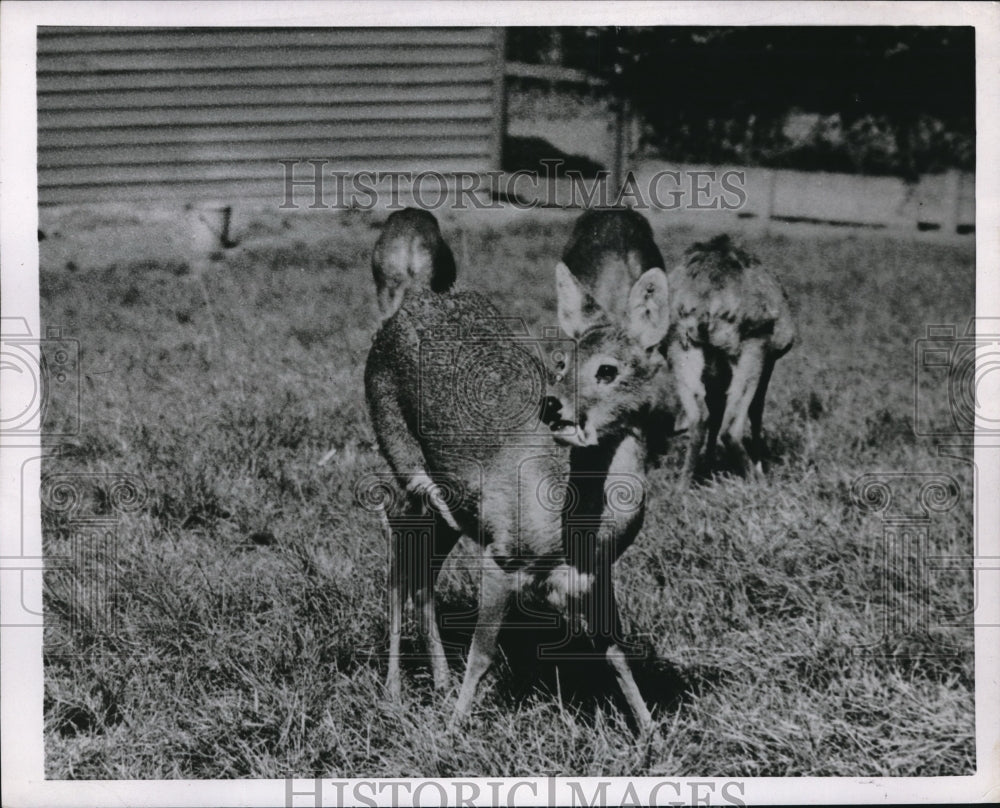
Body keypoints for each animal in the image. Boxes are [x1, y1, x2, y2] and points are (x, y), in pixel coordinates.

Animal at [360, 266, 672, 732]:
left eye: (608, 370)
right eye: (562, 362)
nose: (552, 405)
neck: (574, 530)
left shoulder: (596, 575)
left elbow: (617, 652)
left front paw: (651, 731)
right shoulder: (501, 556)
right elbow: (482, 653)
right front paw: (452, 730)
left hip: (451, 511)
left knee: (423, 578)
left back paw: (439, 682)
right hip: (402, 466)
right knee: (399, 570)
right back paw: (394, 693)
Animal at [664, 234, 796, 486]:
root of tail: (705, 302)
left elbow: (715, 409)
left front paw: (709, 466)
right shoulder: (769, 359)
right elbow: (756, 409)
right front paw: (759, 464)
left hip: (679, 344)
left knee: (699, 417)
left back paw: (682, 486)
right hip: (751, 346)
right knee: (732, 426)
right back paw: (758, 481)